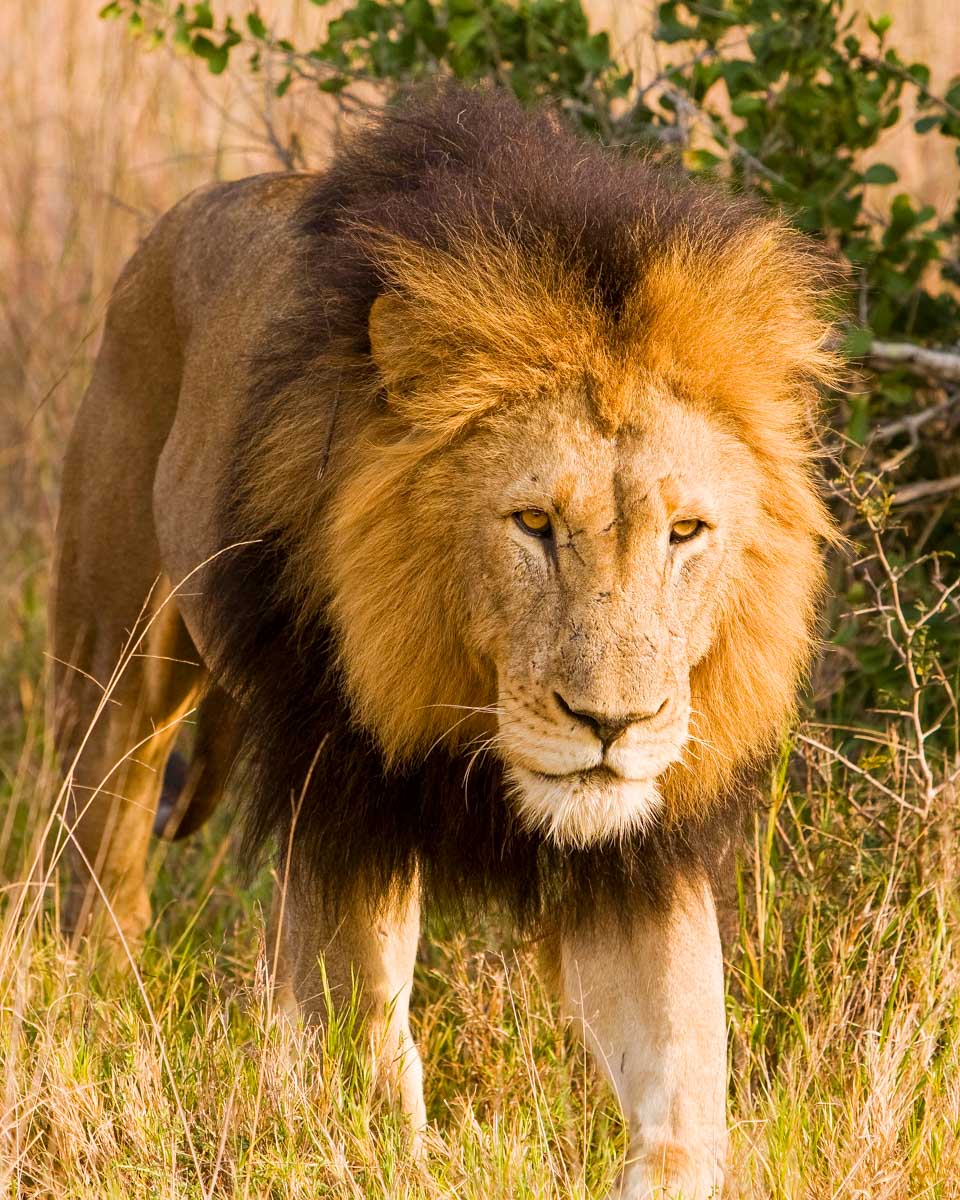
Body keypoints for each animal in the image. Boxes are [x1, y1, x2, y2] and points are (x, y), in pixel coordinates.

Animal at [52, 83, 839, 1198]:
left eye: (686, 532)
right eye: (534, 524)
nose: (613, 723)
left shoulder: (639, 853)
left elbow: (688, 1094)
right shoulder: (344, 792)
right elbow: (368, 1040)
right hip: (114, 666)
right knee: (104, 872)